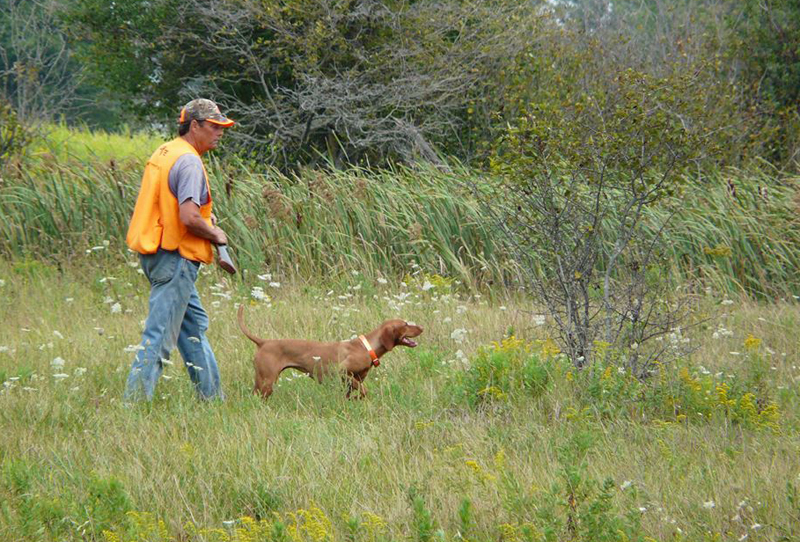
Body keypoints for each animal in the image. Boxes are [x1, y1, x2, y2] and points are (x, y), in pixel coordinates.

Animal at [238, 310, 424, 400]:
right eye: (405, 324)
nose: (422, 327)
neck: (366, 347)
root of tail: (263, 342)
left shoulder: (352, 381)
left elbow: (354, 393)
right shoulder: (343, 372)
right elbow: (364, 391)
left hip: (262, 381)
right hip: (266, 381)